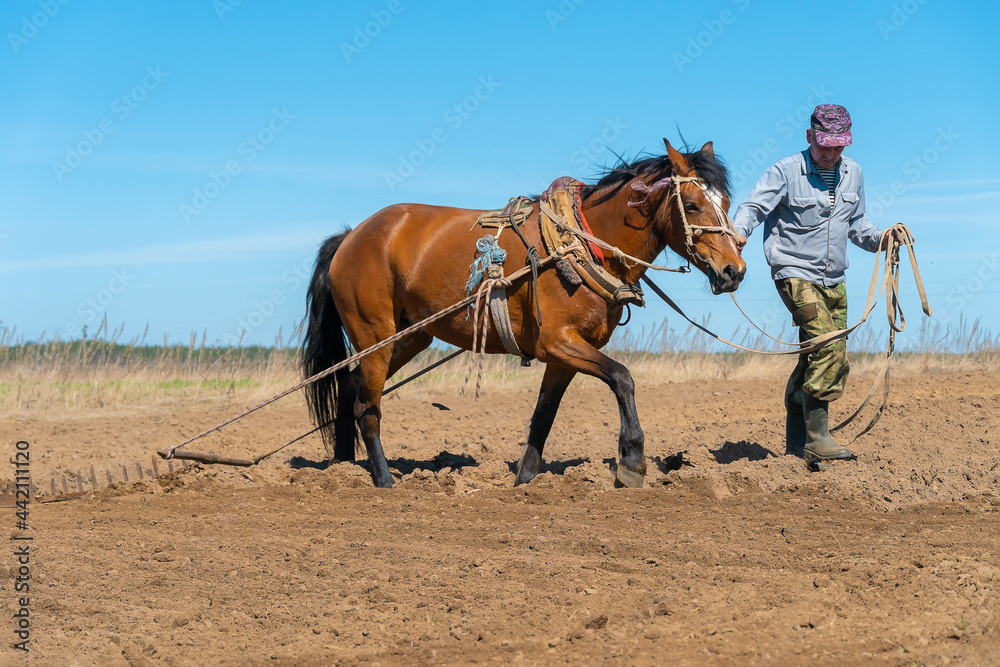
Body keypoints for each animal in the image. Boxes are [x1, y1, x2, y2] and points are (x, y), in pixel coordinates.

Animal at [302, 139, 746, 488]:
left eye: (725, 203)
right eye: (693, 204)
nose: (734, 271)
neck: (583, 242)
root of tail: (350, 237)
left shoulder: (564, 356)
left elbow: (544, 416)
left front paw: (525, 482)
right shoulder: (557, 342)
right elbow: (623, 377)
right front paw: (632, 462)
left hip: (409, 336)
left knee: (350, 387)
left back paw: (343, 466)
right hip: (374, 335)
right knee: (367, 407)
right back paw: (384, 481)